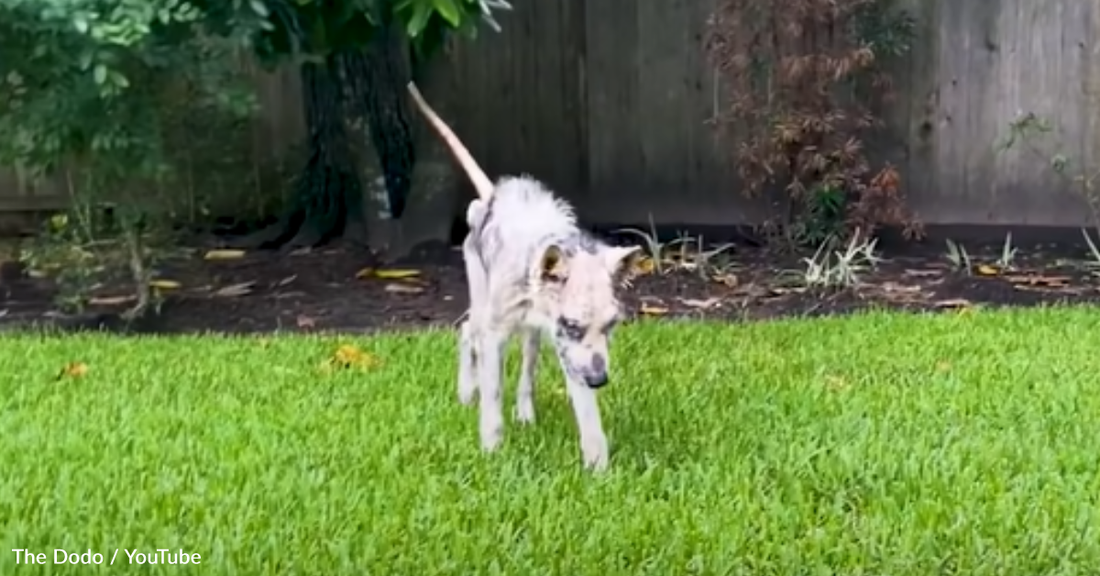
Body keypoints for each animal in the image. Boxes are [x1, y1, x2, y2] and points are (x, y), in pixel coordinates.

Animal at [409, 80, 642, 470]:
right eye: (573, 324)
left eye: (612, 325)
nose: (599, 380)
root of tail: (492, 196)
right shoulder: (503, 336)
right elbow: (492, 394)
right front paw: (491, 449)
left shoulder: (571, 350)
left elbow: (586, 413)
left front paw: (597, 464)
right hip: (481, 302)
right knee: (467, 332)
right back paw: (466, 392)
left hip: (533, 337)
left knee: (527, 374)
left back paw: (526, 414)